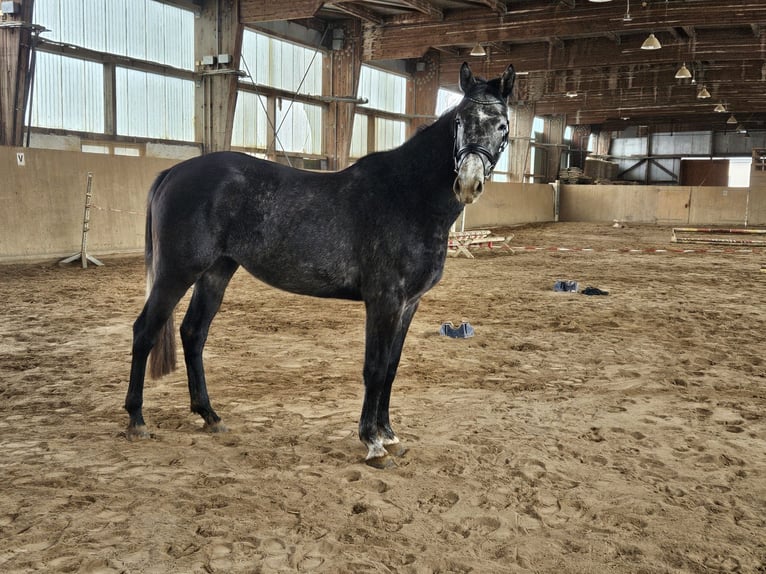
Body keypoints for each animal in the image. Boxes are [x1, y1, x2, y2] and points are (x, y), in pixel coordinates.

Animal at [125, 62, 515, 468]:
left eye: (502, 125)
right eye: (460, 121)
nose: (468, 183)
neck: (407, 195)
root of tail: (174, 173)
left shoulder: (409, 304)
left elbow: (391, 368)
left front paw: (390, 435)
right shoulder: (385, 301)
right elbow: (375, 368)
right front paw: (372, 443)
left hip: (216, 272)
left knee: (193, 333)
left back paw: (209, 415)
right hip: (176, 273)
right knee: (145, 331)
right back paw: (137, 420)